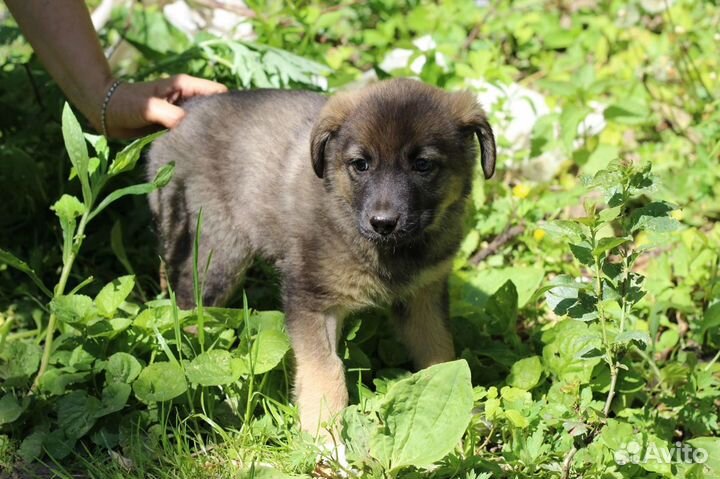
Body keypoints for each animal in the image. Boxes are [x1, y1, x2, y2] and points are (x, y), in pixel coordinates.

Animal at [146, 79, 496, 436]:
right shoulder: (312, 300)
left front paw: (462, 411)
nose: (383, 223)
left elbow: (442, 353)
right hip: (215, 253)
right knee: (189, 307)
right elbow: (326, 370)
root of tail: (181, 117)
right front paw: (325, 436)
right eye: (360, 164)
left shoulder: (423, 297)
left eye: (423, 165)